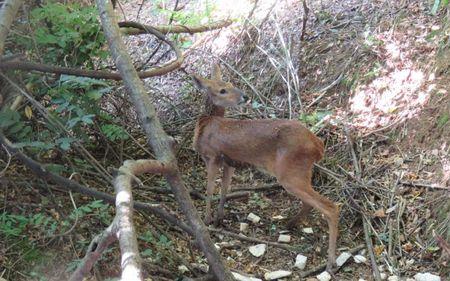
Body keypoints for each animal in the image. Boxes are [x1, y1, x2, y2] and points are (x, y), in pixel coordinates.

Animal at [192, 64, 340, 272]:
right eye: (222, 89)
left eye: (229, 85)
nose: (244, 96)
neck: (207, 123)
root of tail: (318, 146)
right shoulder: (230, 162)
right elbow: (224, 189)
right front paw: (219, 219)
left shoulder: (211, 156)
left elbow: (209, 189)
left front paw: (206, 221)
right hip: (302, 172)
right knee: (310, 203)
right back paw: (290, 223)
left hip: (290, 173)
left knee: (331, 207)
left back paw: (330, 261)